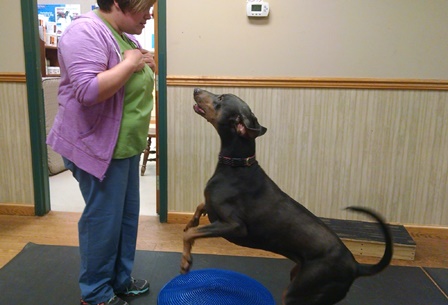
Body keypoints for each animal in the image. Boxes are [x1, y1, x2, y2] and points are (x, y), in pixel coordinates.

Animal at [181, 88, 392, 304]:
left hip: (298, 291)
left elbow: (190, 235)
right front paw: (191, 222)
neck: (237, 165)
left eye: (221, 98)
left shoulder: (235, 226)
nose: (196, 89)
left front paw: (186, 260)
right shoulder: (213, 208)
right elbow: (199, 208)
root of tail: (356, 266)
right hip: (298, 276)